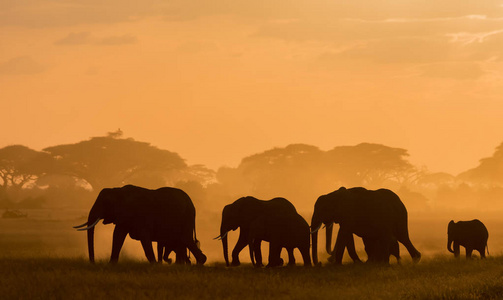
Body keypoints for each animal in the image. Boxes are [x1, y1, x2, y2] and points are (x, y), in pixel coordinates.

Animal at [74, 184, 207, 264]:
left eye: (106, 202)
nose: (93, 262)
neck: (118, 190)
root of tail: (191, 203)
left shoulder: (141, 216)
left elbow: (144, 238)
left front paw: (155, 265)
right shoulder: (125, 217)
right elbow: (117, 235)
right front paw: (111, 265)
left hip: (186, 217)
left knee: (185, 239)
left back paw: (199, 262)